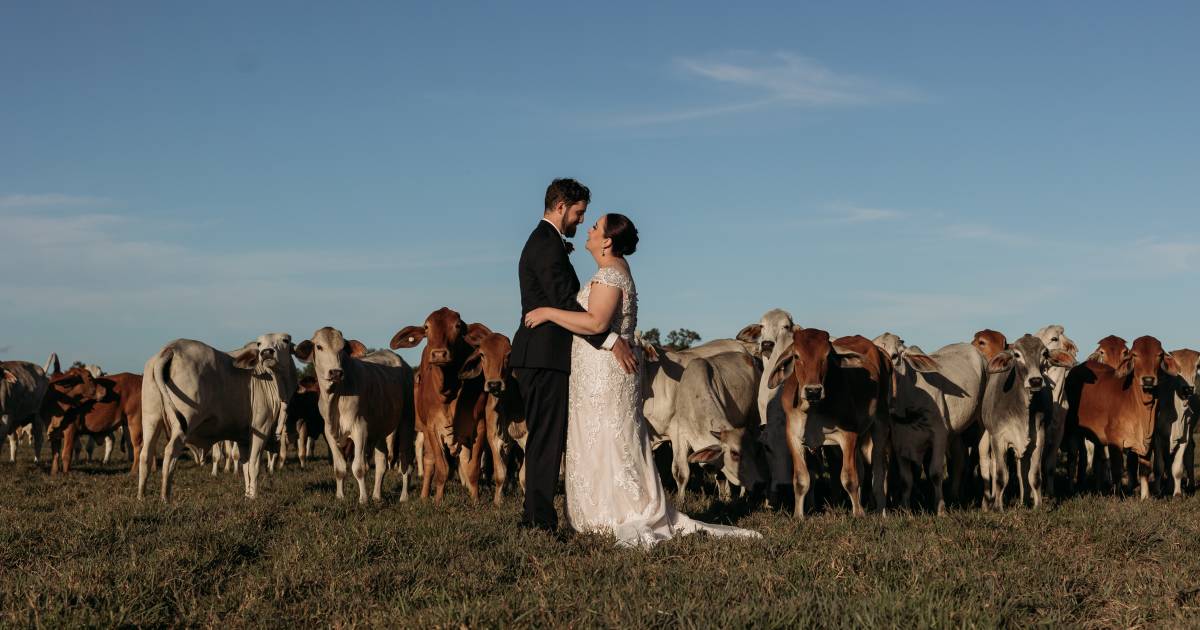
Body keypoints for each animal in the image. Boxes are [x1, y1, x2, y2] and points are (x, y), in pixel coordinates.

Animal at [138, 331, 297, 499]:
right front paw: (254, 496)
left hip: (151, 418)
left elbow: (245, 466)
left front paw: (247, 494)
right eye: (260, 343)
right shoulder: (260, 429)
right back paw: (165, 497)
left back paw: (141, 496)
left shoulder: (243, 438)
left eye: (285, 340)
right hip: (184, 423)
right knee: (170, 451)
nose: (266, 353)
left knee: (145, 454)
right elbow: (253, 466)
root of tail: (171, 348)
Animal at [391, 306, 489, 501]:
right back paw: (424, 496)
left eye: (457, 326)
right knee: (429, 462)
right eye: (426, 327)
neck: (449, 390)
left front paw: (475, 499)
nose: (438, 354)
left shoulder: (479, 425)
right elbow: (441, 468)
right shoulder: (432, 428)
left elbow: (473, 467)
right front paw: (437, 500)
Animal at [453, 331, 525, 504]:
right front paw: (498, 501)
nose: (494, 385)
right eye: (482, 354)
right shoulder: (494, 438)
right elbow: (500, 474)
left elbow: (524, 476)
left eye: (508, 354)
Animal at [768, 328, 892, 516]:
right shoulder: (793, 436)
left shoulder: (849, 435)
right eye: (796, 356)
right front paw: (798, 515)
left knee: (879, 470)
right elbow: (801, 479)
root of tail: (878, 349)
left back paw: (881, 511)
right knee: (861, 470)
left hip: (880, 423)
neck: (813, 409)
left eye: (827, 355)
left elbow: (849, 479)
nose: (813, 391)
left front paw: (858, 515)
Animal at [1070, 333, 1180, 496]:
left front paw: (1145, 496)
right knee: (1077, 458)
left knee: (1097, 460)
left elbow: (1144, 470)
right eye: (1135, 355)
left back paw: (1098, 488)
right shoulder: (1114, 440)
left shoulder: (1149, 439)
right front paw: (1117, 495)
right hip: (1074, 431)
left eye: (1159, 355)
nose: (1148, 379)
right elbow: (1117, 470)